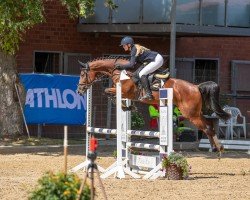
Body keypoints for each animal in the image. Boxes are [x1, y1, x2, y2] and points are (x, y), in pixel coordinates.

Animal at [77, 57, 230, 154]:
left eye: (83, 74)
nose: (80, 90)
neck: (120, 73)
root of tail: (196, 87)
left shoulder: (124, 91)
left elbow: (108, 92)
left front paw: (126, 106)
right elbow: (111, 94)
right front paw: (129, 107)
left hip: (190, 114)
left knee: (207, 127)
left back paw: (219, 148)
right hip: (195, 114)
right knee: (209, 125)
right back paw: (215, 148)